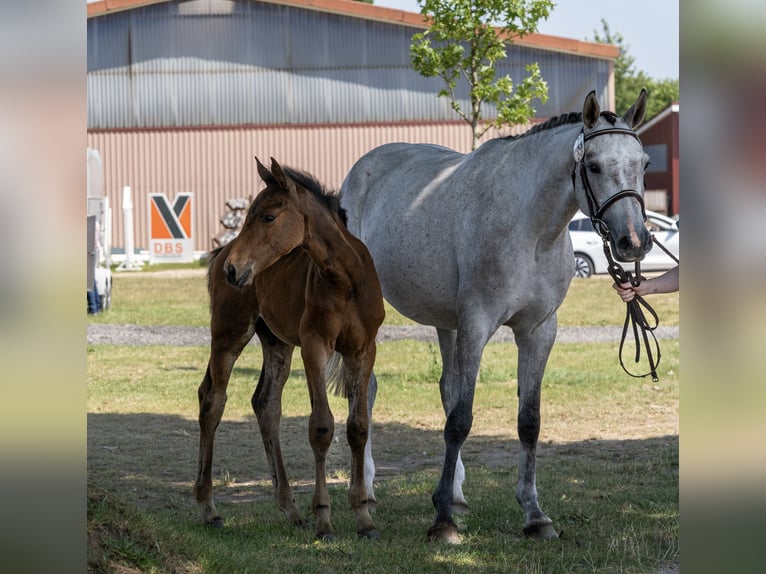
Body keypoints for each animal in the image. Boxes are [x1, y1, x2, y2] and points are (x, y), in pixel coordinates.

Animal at [193, 157, 385, 541]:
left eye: (268, 216)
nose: (234, 269)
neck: (345, 280)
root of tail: (219, 253)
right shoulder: (315, 346)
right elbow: (321, 427)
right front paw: (324, 520)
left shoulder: (362, 349)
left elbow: (358, 427)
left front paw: (363, 518)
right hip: (229, 333)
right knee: (213, 402)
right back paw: (209, 508)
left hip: (276, 342)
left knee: (265, 404)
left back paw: (290, 509)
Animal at [340, 90, 652, 543]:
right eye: (593, 165)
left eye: (643, 163)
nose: (634, 241)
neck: (531, 230)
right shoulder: (477, 324)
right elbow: (460, 420)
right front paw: (443, 523)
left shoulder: (538, 331)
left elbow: (527, 421)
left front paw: (534, 515)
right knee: (365, 389)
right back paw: (366, 489)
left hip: (446, 323)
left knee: (445, 388)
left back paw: (454, 493)